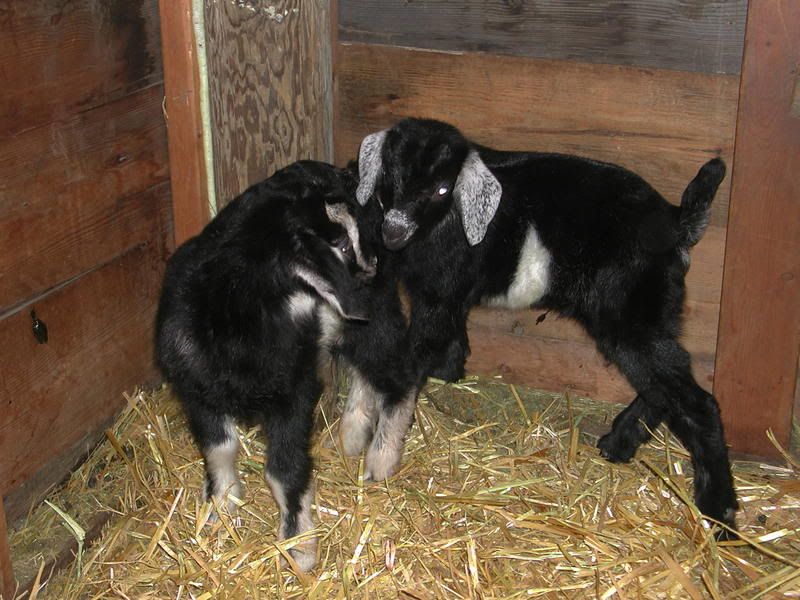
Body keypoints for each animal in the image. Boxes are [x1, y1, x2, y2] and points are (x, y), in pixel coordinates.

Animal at [155, 160, 413, 571]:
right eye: (340, 244)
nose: (370, 265)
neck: (235, 320)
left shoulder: (291, 396)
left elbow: (284, 471)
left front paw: (299, 547)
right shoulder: (196, 391)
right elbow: (220, 449)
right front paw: (219, 509)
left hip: (375, 316)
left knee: (398, 375)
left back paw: (381, 459)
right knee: (364, 374)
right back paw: (352, 436)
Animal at [353, 117, 738, 536]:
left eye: (442, 188)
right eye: (389, 175)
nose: (393, 232)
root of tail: (676, 222)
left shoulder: (438, 295)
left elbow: (410, 363)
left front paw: (381, 452)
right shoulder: (448, 294)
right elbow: (451, 337)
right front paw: (451, 369)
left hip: (632, 312)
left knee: (694, 400)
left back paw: (720, 515)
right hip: (647, 315)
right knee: (662, 385)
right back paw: (618, 443)